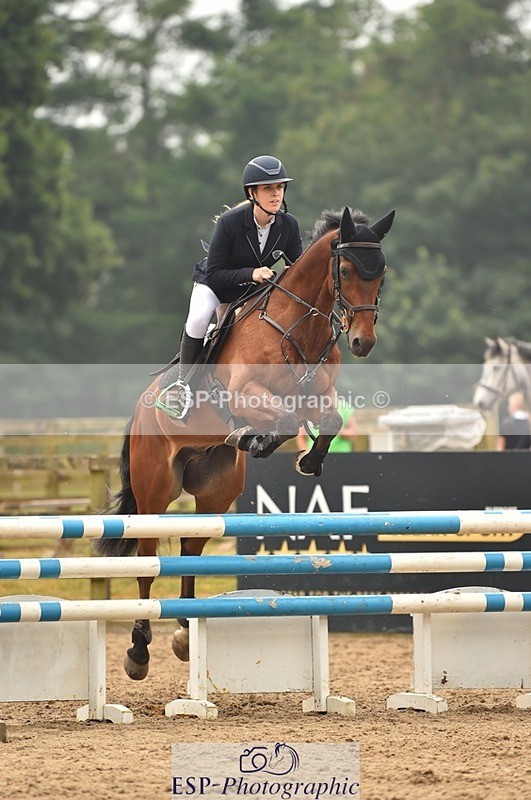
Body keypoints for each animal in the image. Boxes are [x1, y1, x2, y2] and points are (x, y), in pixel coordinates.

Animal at [95, 205, 395, 679]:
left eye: (380, 275)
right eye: (345, 270)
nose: (363, 342)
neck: (298, 325)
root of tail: (142, 408)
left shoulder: (317, 396)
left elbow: (326, 420)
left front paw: (307, 461)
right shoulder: (245, 394)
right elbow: (285, 420)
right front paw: (257, 440)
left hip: (215, 491)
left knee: (191, 548)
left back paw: (185, 631)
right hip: (155, 488)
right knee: (147, 556)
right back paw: (139, 649)